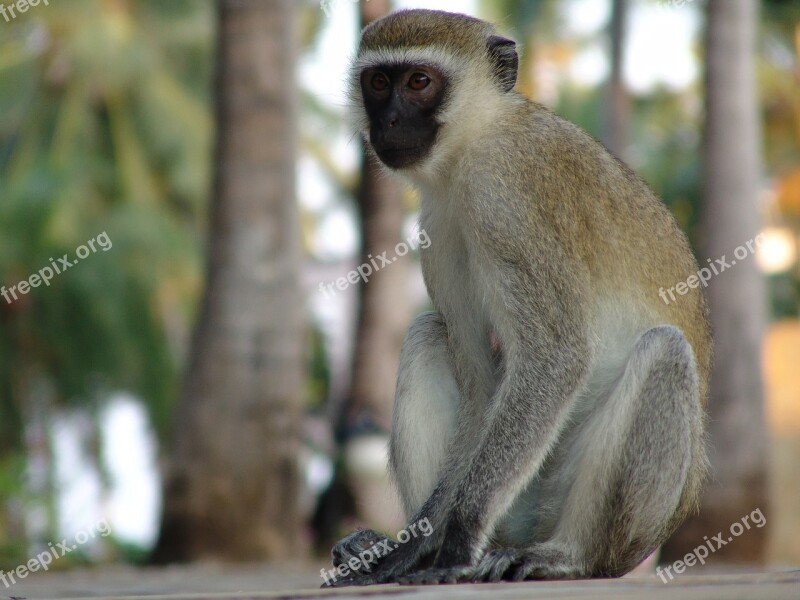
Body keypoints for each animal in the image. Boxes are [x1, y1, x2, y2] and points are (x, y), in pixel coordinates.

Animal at [326, 9, 712, 588]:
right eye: (378, 83)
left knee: (664, 350)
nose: (388, 122)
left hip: (607, 518)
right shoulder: (438, 226)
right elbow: (482, 379)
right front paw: (416, 546)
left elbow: (556, 356)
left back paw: (571, 556)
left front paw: (457, 540)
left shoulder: (506, 197)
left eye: (418, 82)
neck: (474, 142)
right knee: (427, 333)